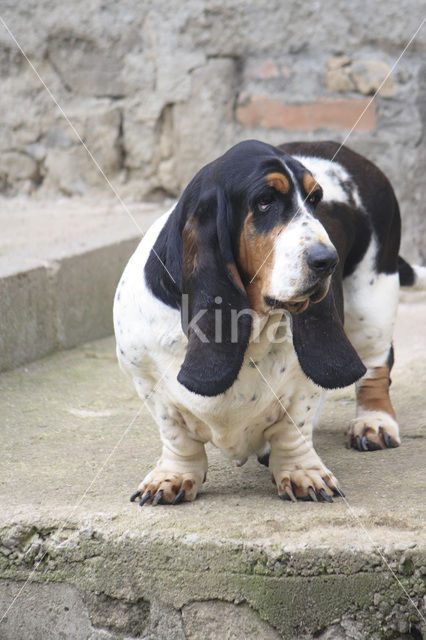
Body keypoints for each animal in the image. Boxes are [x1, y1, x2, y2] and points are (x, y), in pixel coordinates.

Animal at [114, 140, 426, 504]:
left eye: (315, 200)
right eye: (265, 201)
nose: (328, 260)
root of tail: (347, 152)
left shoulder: (302, 388)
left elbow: (294, 427)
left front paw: (302, 472)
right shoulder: (147, 381)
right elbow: (176, 435)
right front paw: (173, 476)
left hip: (373, 300)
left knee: (376, 366)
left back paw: (374, 423)